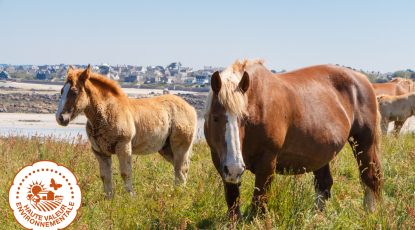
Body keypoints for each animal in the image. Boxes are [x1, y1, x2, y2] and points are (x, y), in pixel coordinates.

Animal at [56, 65, 197, 198]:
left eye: (74, 92)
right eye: (62, 90)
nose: (60, 118)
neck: (108, 111)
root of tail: (191, 107)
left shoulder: (123, 147)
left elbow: (125, 173)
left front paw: (131, 197)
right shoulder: (99, 151)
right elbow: (105, 176)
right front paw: (108, 200)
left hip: (180, 145)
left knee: (180, 168)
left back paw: (178, 193)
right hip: (166, 149)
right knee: (181, 168)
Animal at [205, 59, 384, 219]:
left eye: (245, 119)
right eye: (215, 118)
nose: (235, 168)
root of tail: (364, 79)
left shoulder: (267, 161)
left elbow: (259, 201)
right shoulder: (220, 162)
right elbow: (232, 200)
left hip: (364, 144)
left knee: (370, 179)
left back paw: (370, 215)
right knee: (324, 184)